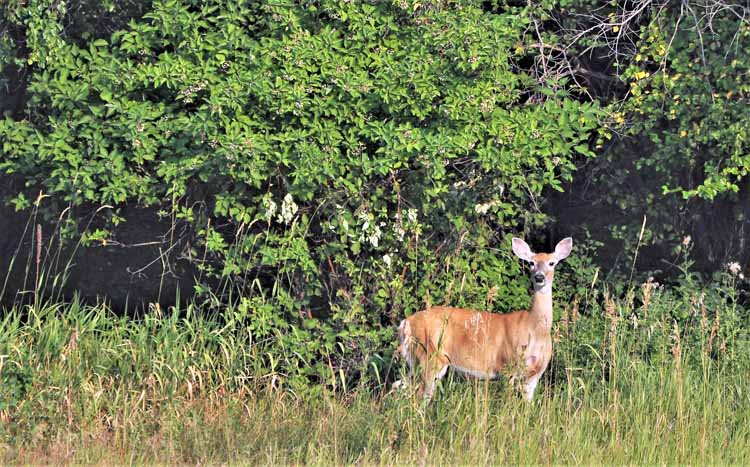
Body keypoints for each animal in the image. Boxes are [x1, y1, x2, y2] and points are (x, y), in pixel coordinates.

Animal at [396, 238, 572, 402]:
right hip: (428, 356)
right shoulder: (508, 365)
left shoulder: (535, 374)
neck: (535, 330)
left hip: (416, 360)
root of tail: (406, 323)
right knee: (418, 394)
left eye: (552, 263)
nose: (539, 277)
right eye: (531, 263)